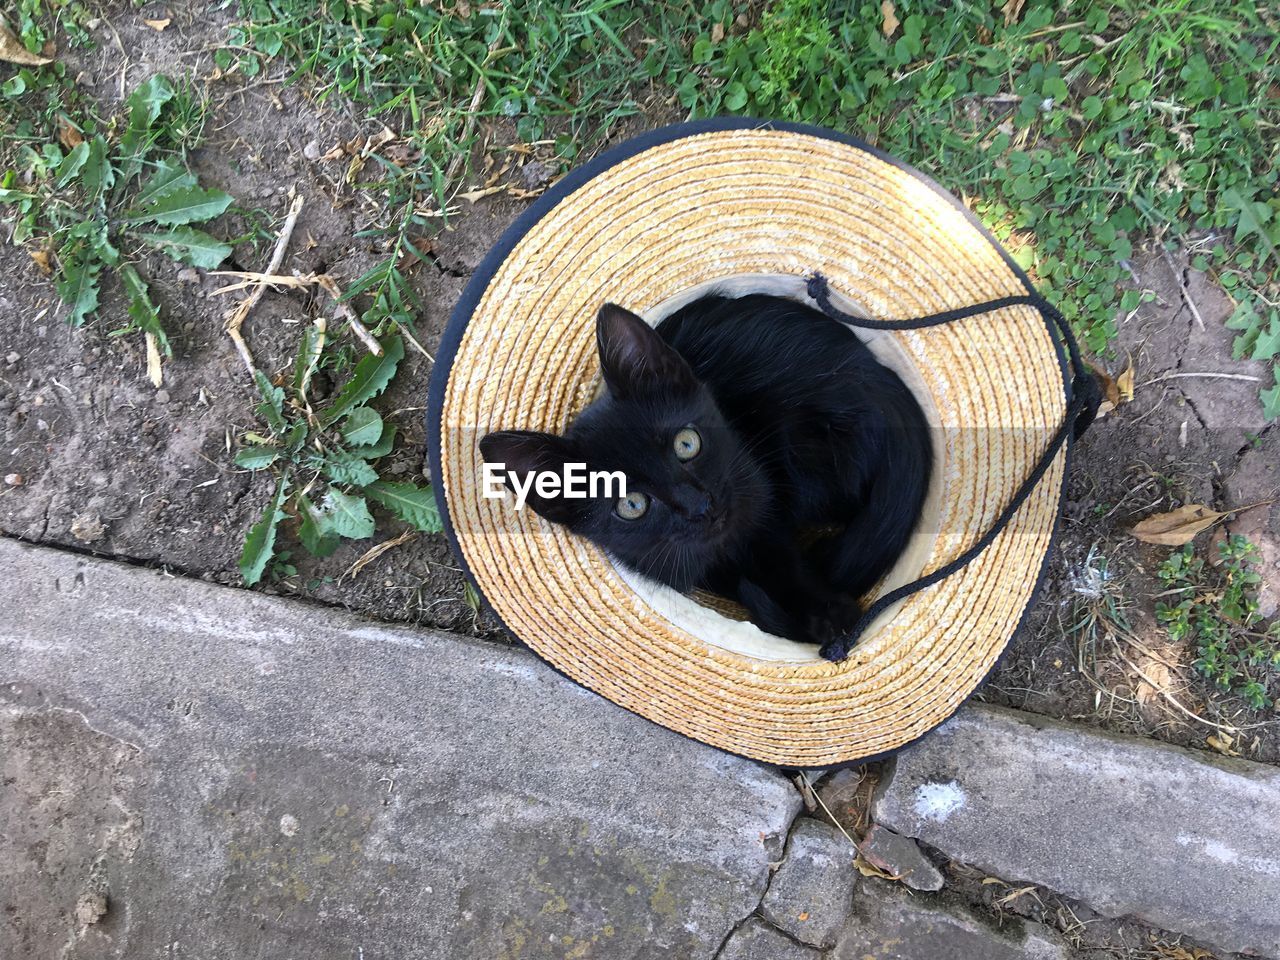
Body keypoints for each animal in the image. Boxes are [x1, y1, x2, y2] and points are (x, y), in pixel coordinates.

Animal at [481, 296, 931, 665]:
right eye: (631, 505)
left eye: (687, 443)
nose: (700, 505)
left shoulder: (763, 501)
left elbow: (782, 558)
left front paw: (828, 613)